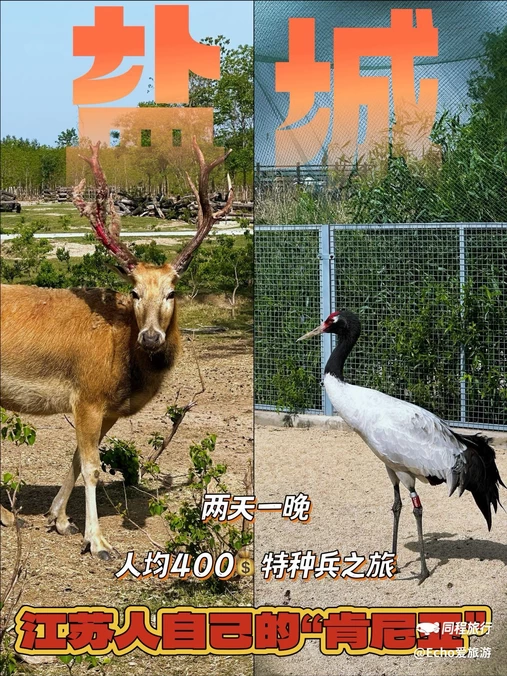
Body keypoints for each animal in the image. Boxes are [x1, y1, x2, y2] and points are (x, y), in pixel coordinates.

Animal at [0, 138, 233, 559]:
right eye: (134, 291)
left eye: (172, 291)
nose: (151, 337)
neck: (126, 372)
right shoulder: (87, 396)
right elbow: (92, 467)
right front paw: (97, 540)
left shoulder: (106, 408)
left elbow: (77, 459)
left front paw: (59, 519)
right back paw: (9, 516)